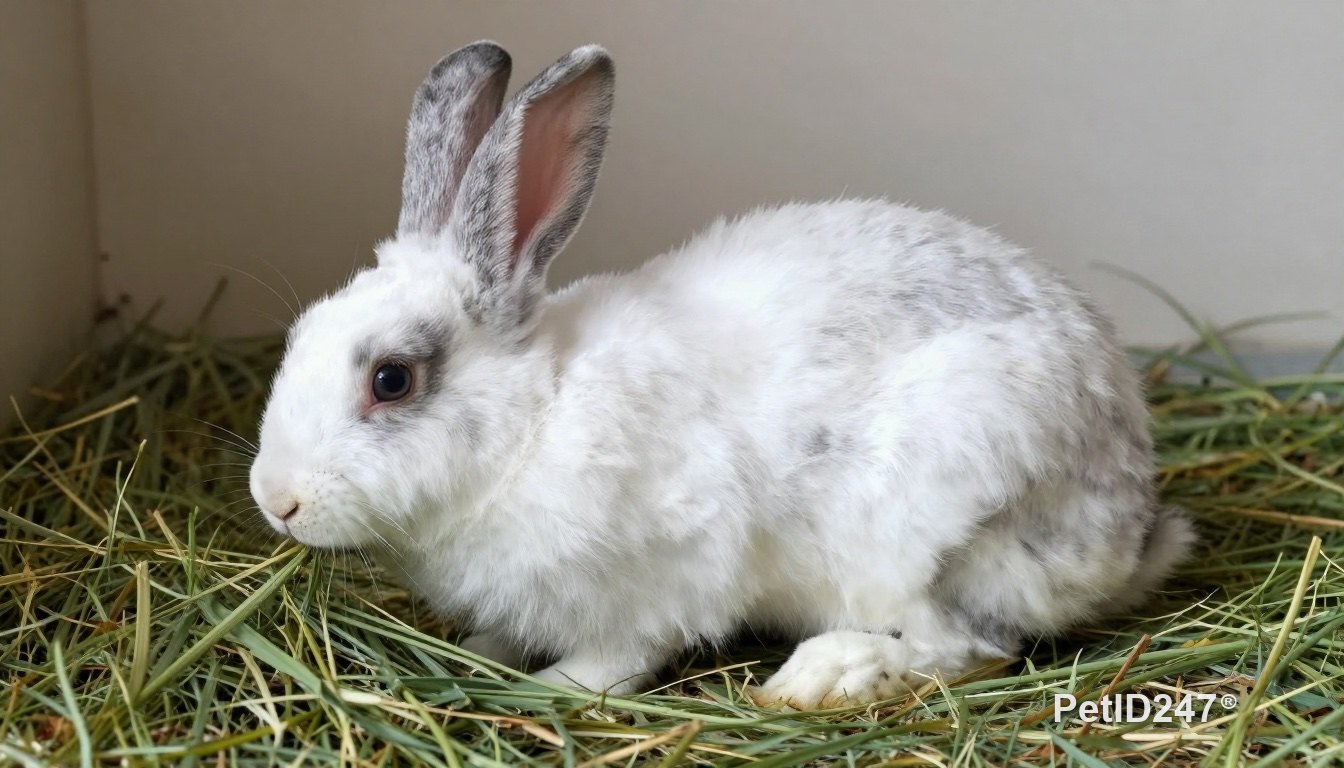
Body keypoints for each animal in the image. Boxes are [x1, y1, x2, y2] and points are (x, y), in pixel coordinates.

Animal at [248, 41, 1195, 708]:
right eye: (300, 336)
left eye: (392, 380)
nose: (275, 501)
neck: (534, 418)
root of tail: (1129, 530)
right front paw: (482, 657)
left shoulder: (667, 574)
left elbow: (624, 653)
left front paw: (554, 688)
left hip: (924, 524)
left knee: (963, 647)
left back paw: (821, 679)